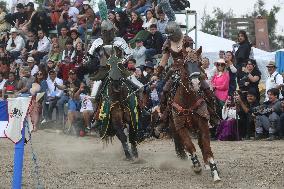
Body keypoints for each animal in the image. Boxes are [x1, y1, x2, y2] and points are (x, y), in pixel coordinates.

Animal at [169, 47, 222, 182]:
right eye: (185, 65)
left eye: (199, 64)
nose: (195, 83)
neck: (188, 100)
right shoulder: (180, 126)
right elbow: (189, 145)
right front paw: (196, 165)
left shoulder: (203, 123)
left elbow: (206, 146)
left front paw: (214, 171)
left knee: (201, 144)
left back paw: (207, 164)